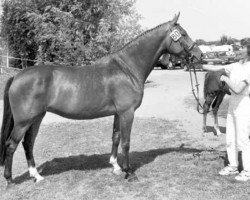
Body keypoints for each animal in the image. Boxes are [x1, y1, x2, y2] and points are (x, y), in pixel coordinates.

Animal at [0, 12, 203, 188]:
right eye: (184, 34)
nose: (199, 55)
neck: (127, 69)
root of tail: (17, 76)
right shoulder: (127, 112)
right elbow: (126, 142)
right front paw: (130, 173)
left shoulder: (118, 113)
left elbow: (115, 137)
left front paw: (116, 167)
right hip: (24, 121)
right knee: (11, 145)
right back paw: (10, 180)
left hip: (37, 118)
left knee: (28, 144)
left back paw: (36, 176)